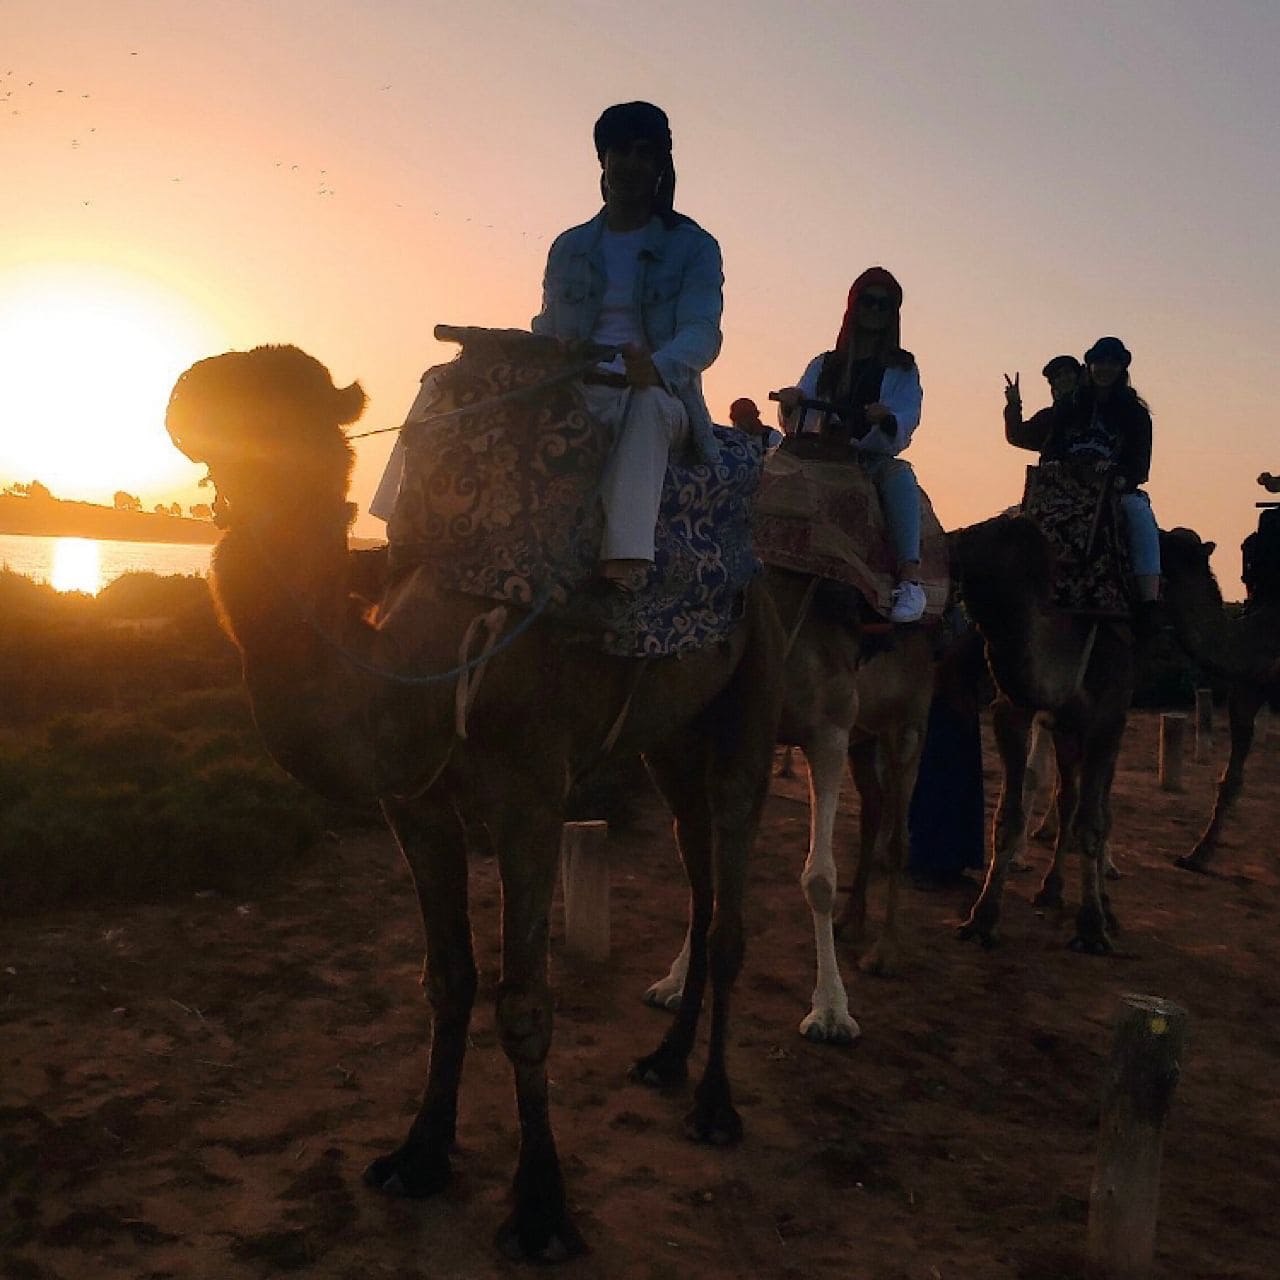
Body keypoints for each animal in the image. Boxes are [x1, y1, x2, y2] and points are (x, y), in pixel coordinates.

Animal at [165, 335, 783, 1264]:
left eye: (284, 405)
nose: (185, 398)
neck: (424, 671)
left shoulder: (532, 796)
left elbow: (524, 1002)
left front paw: (541, 1212)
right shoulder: (414, 806)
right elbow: (447, 979)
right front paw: (418, 1155)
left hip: (756, 690)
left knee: (731, 904)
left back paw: (715, 1106)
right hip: (672, 736)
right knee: (698, 875)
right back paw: (665, 1061)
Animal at [947, 514, 1126, 957]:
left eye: (987, 542)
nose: (948, 543)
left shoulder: (1107, 716)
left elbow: (1094, 822)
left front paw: (1092, 929)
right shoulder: (1016, 710)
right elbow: (1008, 815)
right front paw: (981, 920)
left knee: (1099, 804)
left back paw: (1105, 903)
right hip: (1065, 733)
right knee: (1068, 798)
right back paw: (1051, 889)